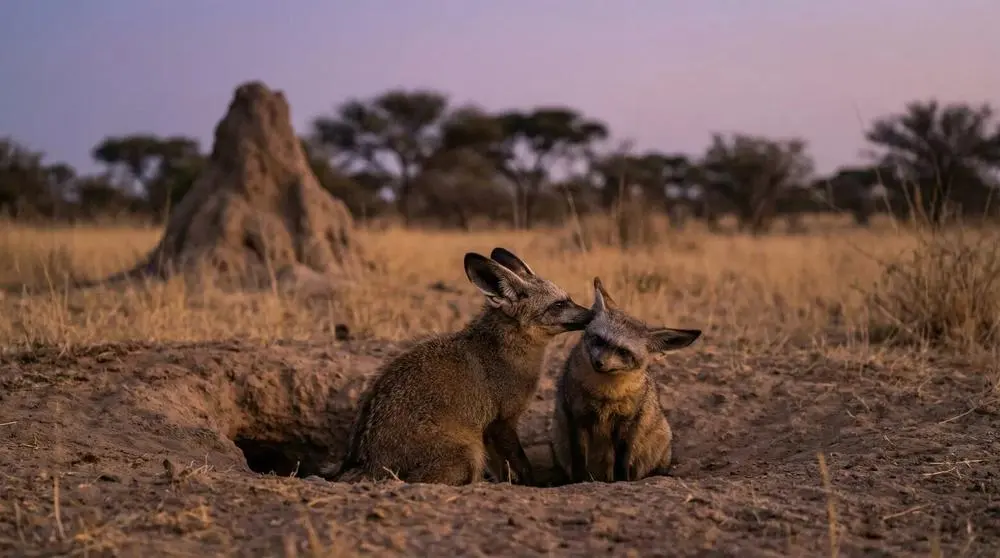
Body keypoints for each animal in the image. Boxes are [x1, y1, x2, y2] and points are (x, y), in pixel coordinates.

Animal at [328, 247, 592, 486]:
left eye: (569, 299)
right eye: (558, 305)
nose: (592, 314)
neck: (503, 351)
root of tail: (367, 463)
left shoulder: (489, 430)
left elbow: (502, 469)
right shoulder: (502, 423)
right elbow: (522, 465)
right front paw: (530, 485)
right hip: (470, 453)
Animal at [551, 276, 701, 483]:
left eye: (623, 352)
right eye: (599, 340)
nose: (599, 363)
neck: (605, 395)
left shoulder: (626, 423)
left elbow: (622, 459)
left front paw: (622, 481)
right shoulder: (578, 417)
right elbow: (579, 458)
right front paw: (580, 481)